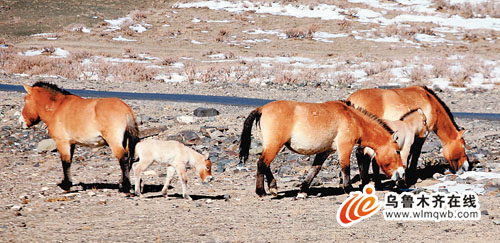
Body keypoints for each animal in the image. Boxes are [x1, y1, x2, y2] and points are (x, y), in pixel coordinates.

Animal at [239, 100, 406, 197]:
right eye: (397, 151)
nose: (401, 172)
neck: (353, 118)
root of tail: (262, 108)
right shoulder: (344, 146)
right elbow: (345, 167)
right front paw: (349, 189)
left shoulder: (325, 151)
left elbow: (315, 170)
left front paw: (302, 191)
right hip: (274, 145)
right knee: (262, 163)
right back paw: (262, 192)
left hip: (271, 145)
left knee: (265, 164)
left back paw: (273, 188)